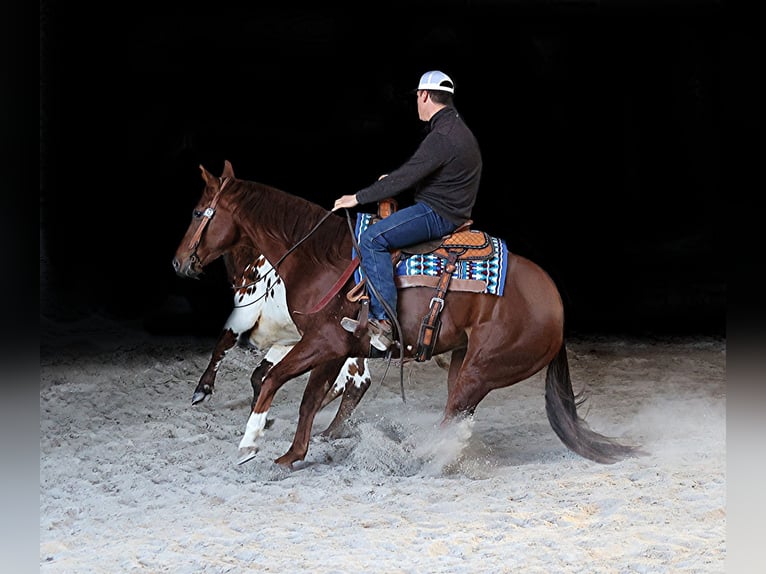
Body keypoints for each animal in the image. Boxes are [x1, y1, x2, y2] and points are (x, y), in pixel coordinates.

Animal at [192, 245, 372, 438]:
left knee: (358, 380)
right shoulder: (288, 340)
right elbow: (259, 375)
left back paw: (328, 431)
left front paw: (202, 391)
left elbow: (223, 346)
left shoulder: (245, 312)